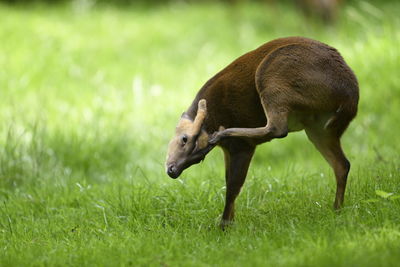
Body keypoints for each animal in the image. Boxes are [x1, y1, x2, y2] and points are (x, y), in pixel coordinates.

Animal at [166, 36, 360, 229]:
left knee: (278, 128)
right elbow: (230, 181)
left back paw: (224, 132)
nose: (172, 171)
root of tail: (350, 98)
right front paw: (229, 222)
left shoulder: (241, 147)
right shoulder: (229, 149)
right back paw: (337, 210)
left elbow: (233, 186)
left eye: (185, 139)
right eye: (200, 159)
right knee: (342, 164)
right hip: (320, 128)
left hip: (274, 75)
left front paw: (224, 226)